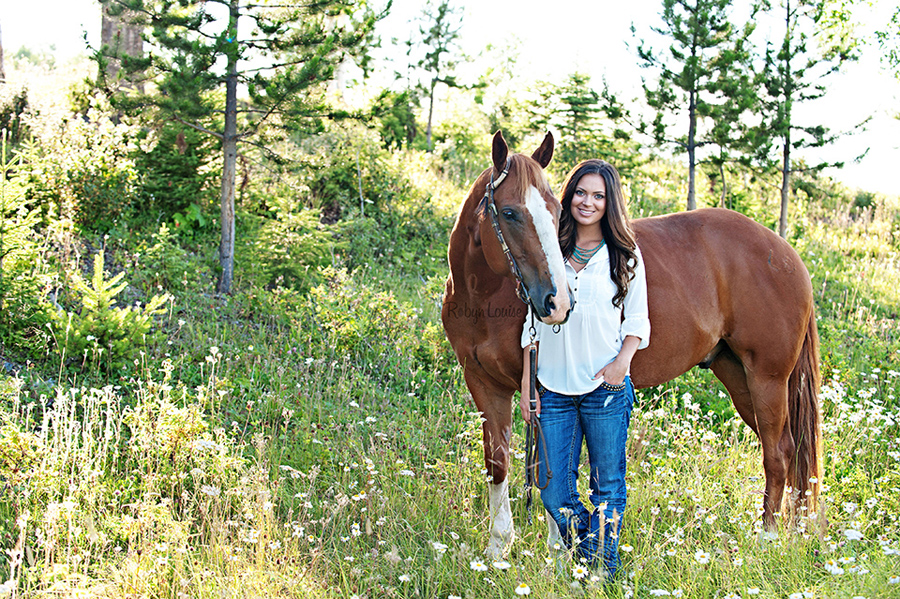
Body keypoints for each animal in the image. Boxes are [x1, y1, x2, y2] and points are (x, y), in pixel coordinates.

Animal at [442, 131, 824, 556]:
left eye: (557, 211)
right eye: (509, 213)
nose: (558, 303)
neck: (484, 298)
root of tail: (788, 255)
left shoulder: (543, 390)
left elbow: (550, 466)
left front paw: (557, 549)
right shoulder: (483, 383)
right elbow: (498, 462)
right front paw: (498, 549)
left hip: (767, 378)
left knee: (779, 454)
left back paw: (767, 538)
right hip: (738, 376)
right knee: (786, 451)